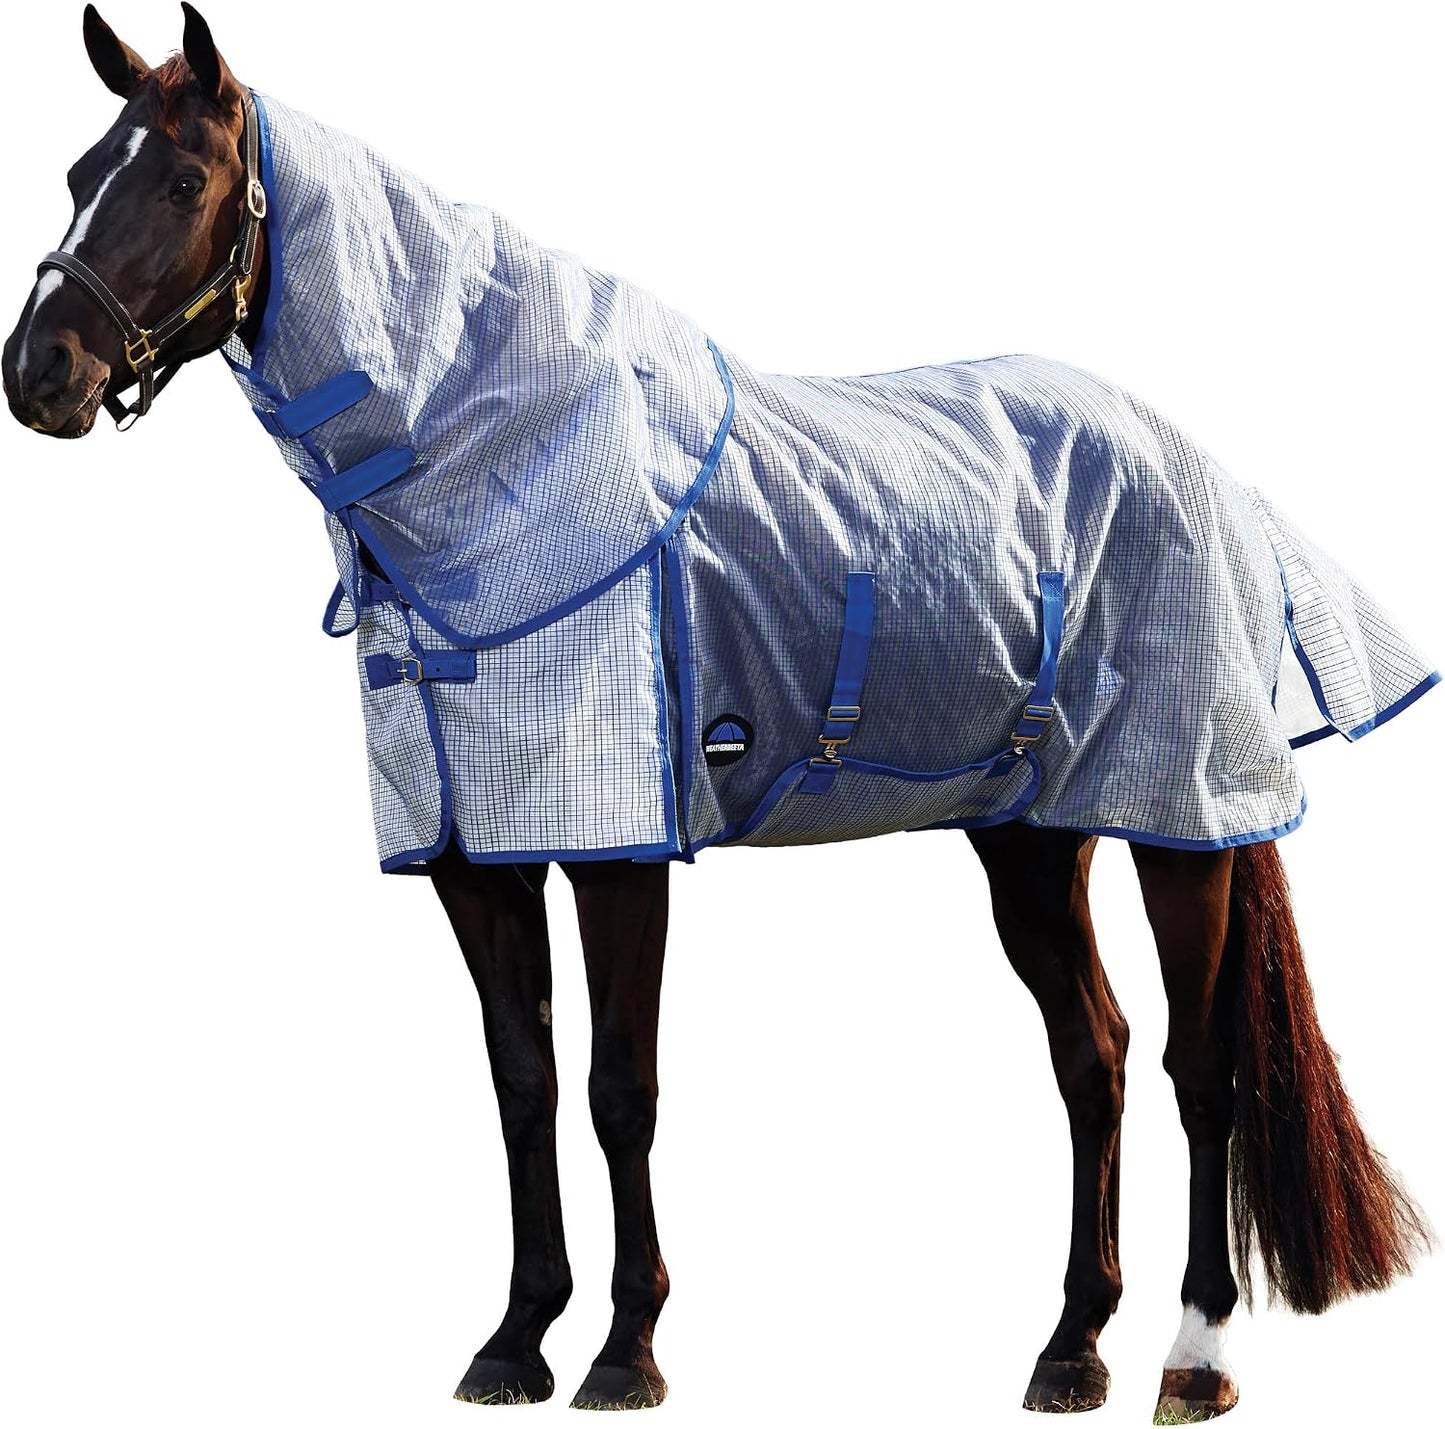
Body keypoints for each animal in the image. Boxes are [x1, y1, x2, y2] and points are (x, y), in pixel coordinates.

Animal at [2, 7, 1436, 1420]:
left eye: (184, 180)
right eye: (77, 174)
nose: (39, 372)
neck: (502, 473)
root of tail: (1204, 471)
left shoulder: (619, 848)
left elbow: (617, 1090)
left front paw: (624, 1352)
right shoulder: (475, 860)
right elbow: (521, 1085)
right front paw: (514, 1340)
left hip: (1178, 820)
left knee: (1204, 1068)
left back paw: (1193, 1357)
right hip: (1029, 837)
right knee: (1095, 1055)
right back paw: (1069, 1345)